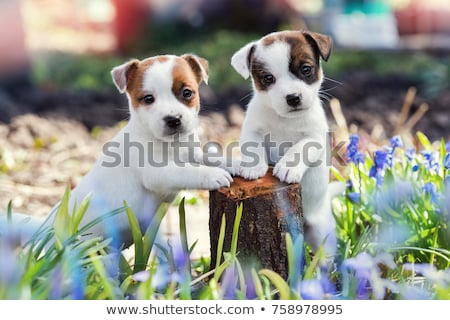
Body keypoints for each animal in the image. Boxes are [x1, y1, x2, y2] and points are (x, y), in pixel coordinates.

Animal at [0, 53, 232, 246]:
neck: (171, 143)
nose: (173, 119)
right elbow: (186, 170)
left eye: (187, 92)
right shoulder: (157, 173)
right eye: (148, 99)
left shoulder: (193, 154)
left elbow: (212, 158)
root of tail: (43, 228)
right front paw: (214, 175)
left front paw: (236, 164)